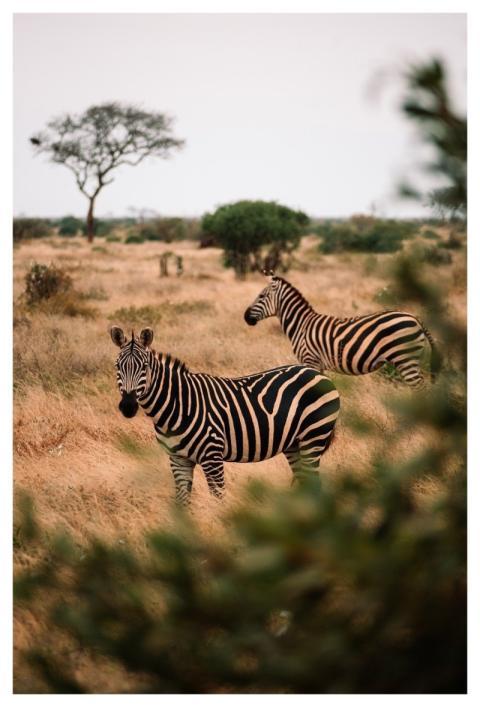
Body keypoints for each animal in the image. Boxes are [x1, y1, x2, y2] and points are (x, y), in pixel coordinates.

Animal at [110, 326, 340, 505]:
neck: (178, 405)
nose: (128, 406)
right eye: (117, 366)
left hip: (313, 436)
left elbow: (218, 499)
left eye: (144, 367)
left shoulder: (212, 456)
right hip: (293, 444)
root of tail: (318, 374)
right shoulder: (178, 460)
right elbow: (182, 502)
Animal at [244, 275, 441, 387]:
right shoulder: (318, 365)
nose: (245, 317)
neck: (301, 325)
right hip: (408, 359)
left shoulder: (310, 360)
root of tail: (415, 318)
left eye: (261, 296)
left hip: (405, 359)